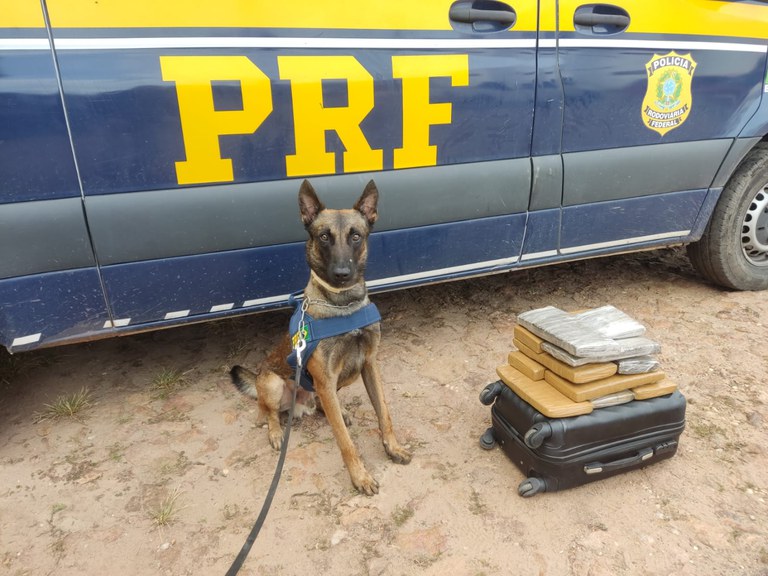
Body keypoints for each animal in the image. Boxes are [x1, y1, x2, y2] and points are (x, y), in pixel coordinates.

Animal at [231, 180, 412, 496]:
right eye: (324, 237)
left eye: (355, 236)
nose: (342, 274)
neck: (343, 305)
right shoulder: (326, 378)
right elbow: (345, 441)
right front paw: (360, 476)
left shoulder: (368, 364)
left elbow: (384, 414)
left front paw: (393, 447)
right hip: (274, 383)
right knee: (267, 412)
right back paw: (276, 432)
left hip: (343, 379)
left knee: (322, 407)